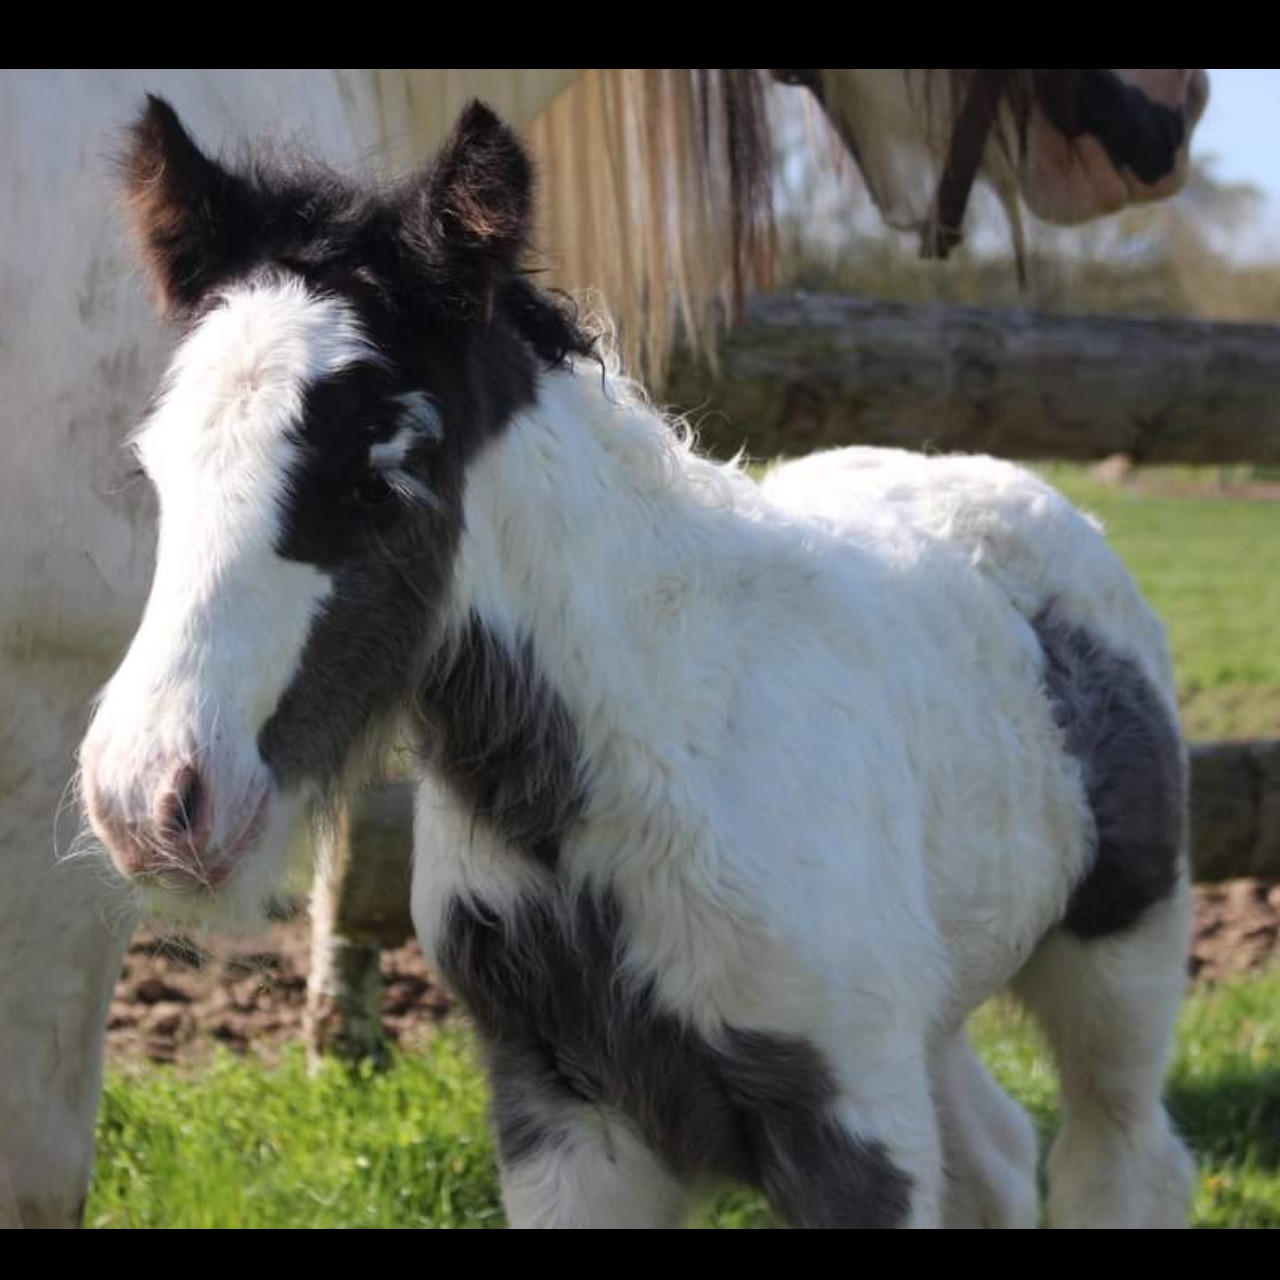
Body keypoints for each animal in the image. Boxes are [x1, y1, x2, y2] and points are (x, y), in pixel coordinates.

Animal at [85, 99, 1192, 1228]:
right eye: (154, 469)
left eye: (374, 481)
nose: (149, 800)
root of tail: (1030, 495)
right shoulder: (562, 1115)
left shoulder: (852, 1115)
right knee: (999, 1150)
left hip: (1119, 953)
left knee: (1122, 1155)